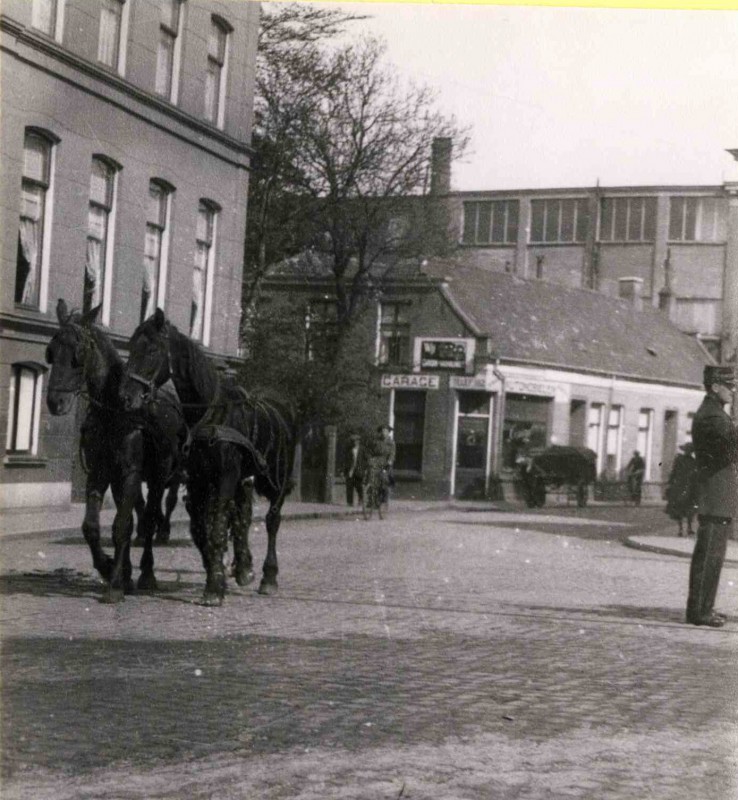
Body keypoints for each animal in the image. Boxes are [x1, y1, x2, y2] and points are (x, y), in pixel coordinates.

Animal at [45, 300, 185, 600]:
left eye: (78, 354)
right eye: (51, 351)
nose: (54, 402)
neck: (113, 411)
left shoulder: (131, 473)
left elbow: (122, 526)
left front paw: (116, 585)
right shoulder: (99, 472)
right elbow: (92, 527)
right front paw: (110, 568)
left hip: (158, 476)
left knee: (150, 518)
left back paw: (146, 572)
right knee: (136, 518)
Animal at [119, 308, 294, 608]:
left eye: (152, 350)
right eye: (130, 347)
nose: (127, 397)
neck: (210, 414)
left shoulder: (225, 478)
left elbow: (217, 527)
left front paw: (214, 587)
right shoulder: (199, 481)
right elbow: (202, 528)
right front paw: (217, 573)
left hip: (274, 481)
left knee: (272, 520)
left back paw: (268, 576)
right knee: (242, 517)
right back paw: (244, 568)